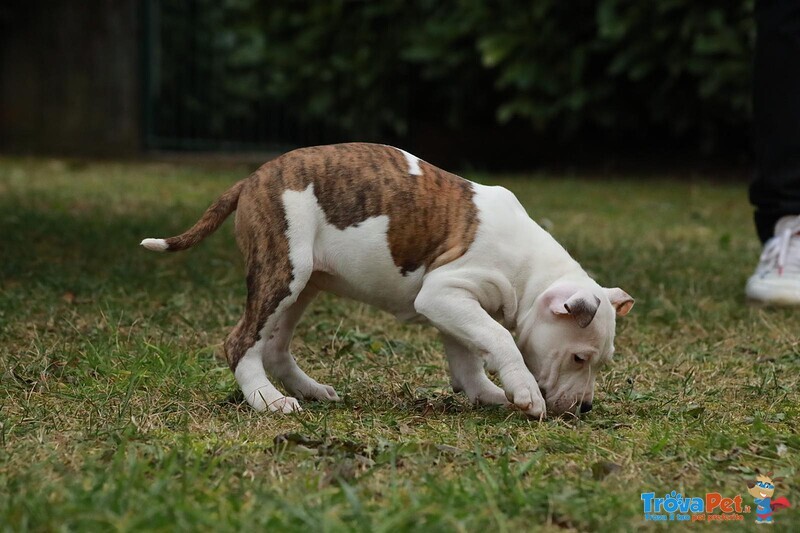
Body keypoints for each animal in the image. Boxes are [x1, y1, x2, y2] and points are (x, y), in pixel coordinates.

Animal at [141, 143, 636, 418]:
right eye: (579, 358)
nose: (587, 407)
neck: (530, 272)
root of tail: (251, 180)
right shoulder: (444, 293)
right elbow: (498, 338)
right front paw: (524, 392)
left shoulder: (453, 304)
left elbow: (467, 356)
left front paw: (487, 394)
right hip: (281, 271)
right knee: (241, 341)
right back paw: (267, 401)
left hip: (302, 285)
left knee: (275, 346)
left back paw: (309, 390)